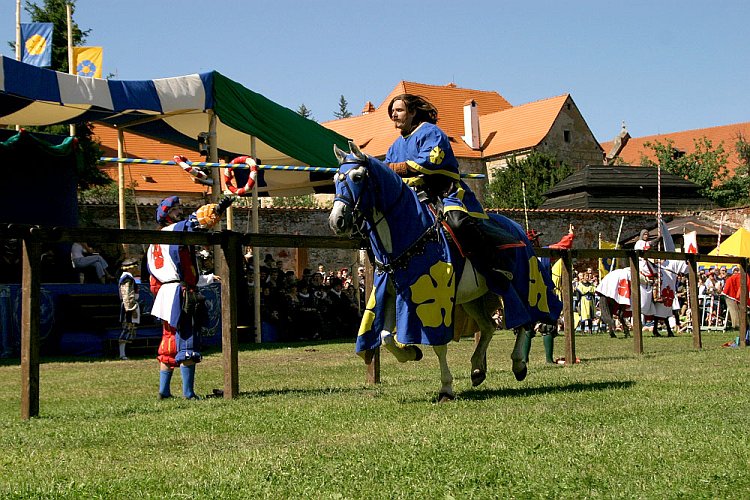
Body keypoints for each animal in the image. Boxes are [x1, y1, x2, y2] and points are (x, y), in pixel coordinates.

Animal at [330, 142, 564, 402]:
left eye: (357, 177)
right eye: (336, 179)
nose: (336, 221)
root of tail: (518, 228)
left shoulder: (433, 299)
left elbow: (438, 344)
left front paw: (446, 387)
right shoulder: (391, 293)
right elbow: (384, 336)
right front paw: (410, 352)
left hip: (521, 284)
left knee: (526, 320)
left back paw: (518, 364)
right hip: (474, 297)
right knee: (488, 327)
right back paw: (477, 369)